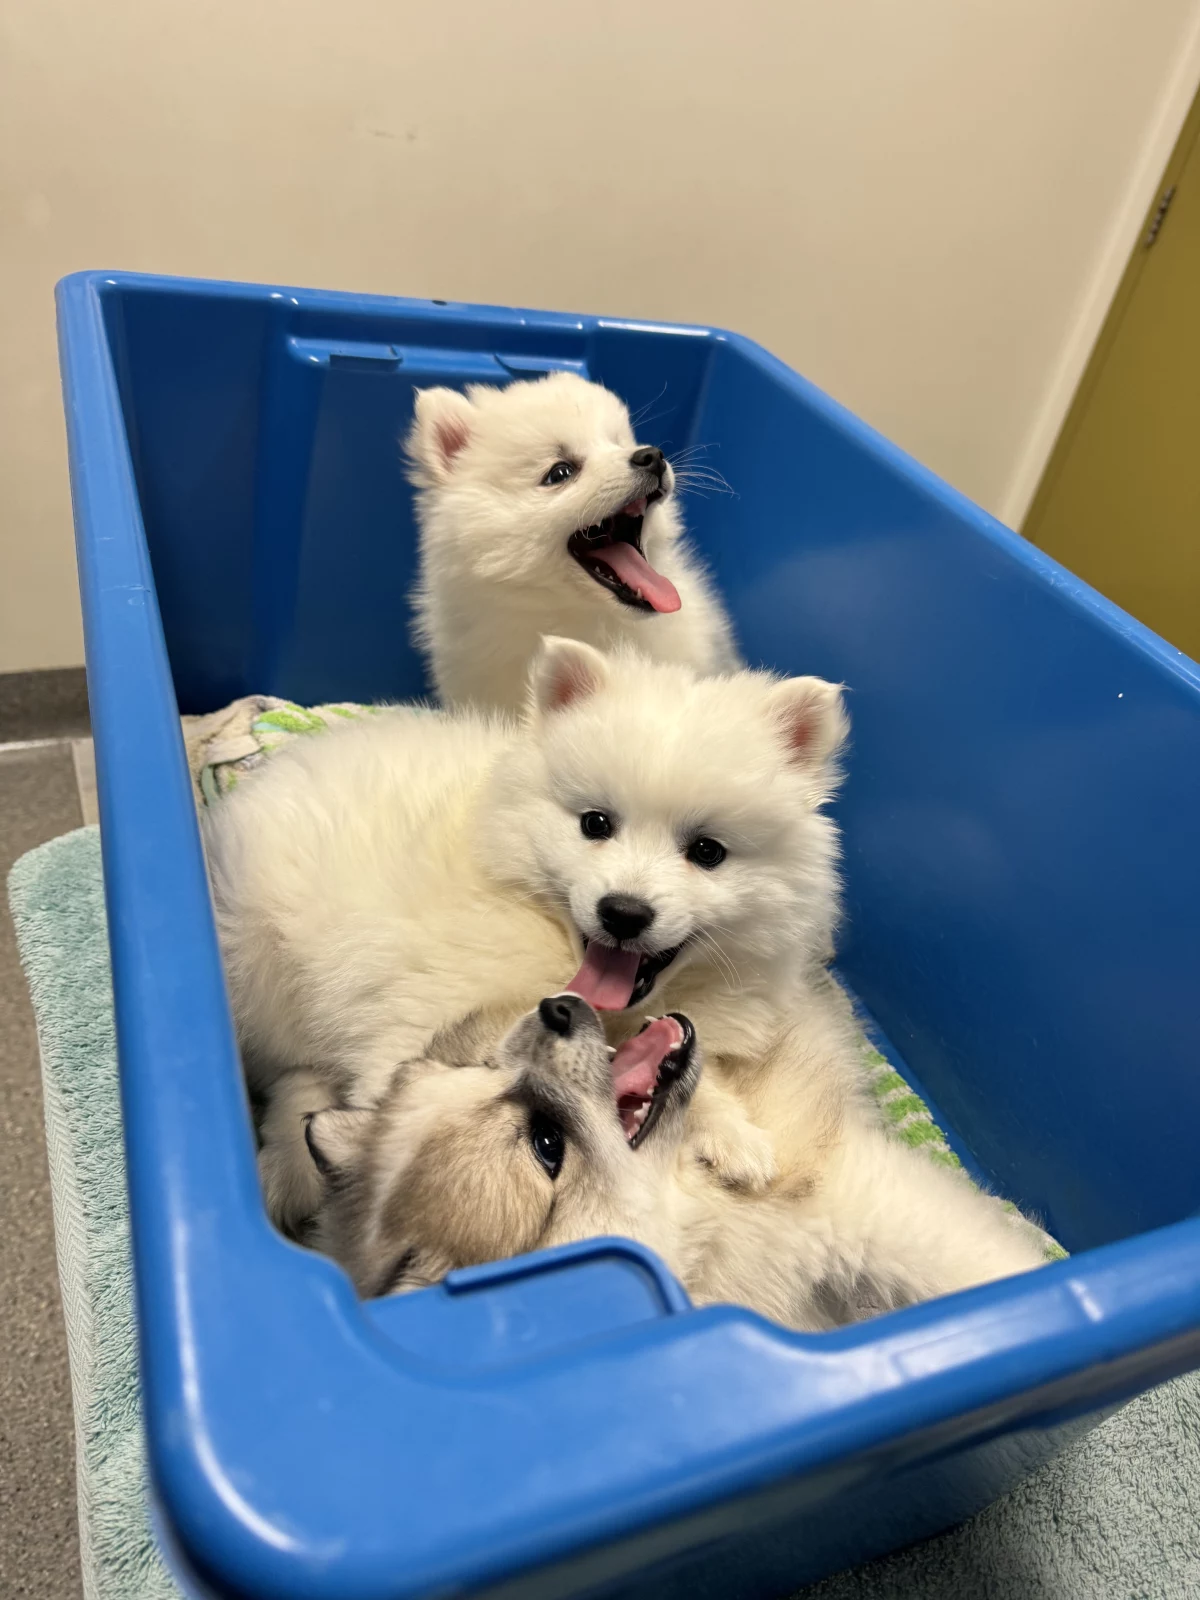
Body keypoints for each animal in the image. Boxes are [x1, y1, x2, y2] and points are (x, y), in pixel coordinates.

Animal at [203, 636, 848, 1233]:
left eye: (708, 852)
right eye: (595, 824)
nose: (623, 912)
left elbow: (687, 1060)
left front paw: (738, 1138)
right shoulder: (414, 1014)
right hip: (266, 973)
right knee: (292, 1070)